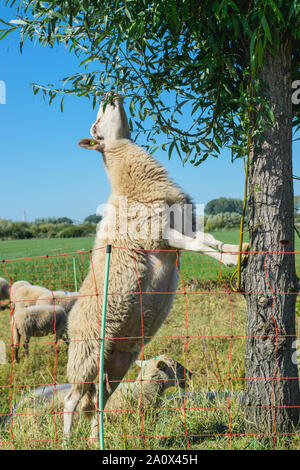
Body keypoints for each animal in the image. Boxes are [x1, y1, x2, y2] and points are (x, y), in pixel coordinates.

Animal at [63, 94, 244, 440]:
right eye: (95, 124)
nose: (111, 93)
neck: (134, 183)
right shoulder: (158, 233)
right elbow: (198, 246)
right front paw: (230, 259)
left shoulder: (182, 225)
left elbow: (209, 239)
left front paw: (236, 251)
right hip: (85, 355)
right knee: (71, 400)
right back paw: (65, 442)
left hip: (117, 361)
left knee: (97, 401)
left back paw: (93, 439)